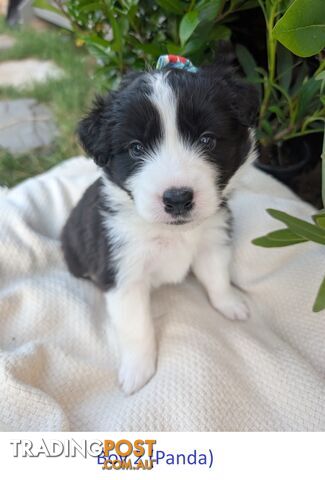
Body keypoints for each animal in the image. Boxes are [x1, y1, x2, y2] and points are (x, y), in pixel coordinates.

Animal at [61, 57, 258, 394]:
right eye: (136, 148)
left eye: (207, 139)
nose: (177, 199)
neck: (170, 231)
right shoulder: (123, 274)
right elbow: (137, 327)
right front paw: (138, 370)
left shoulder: (212, 240)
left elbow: (217, 277)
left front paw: (230, 303)